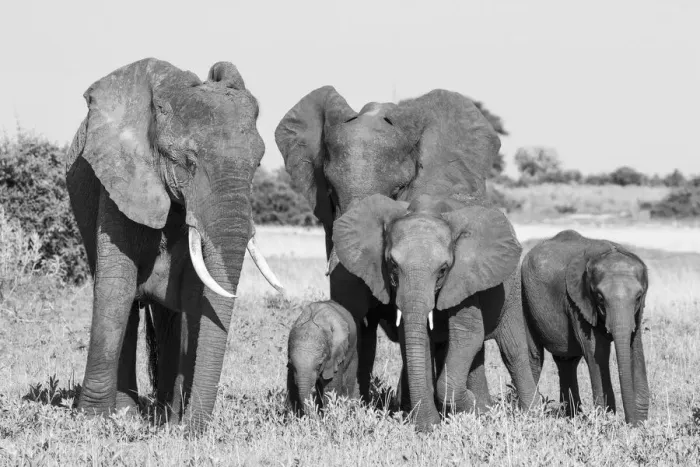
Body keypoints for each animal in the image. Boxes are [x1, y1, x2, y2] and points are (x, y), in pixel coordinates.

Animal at [65, 58, 283, 431]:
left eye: (257, 164)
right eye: (189, 162)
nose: (194, 430)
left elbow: (195, 294)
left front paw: (174, 423)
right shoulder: (119, 178)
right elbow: (116, 286)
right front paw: (93, 422)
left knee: (171, 310)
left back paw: (163, 411)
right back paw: (131, 413)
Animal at [332, 193, 539, 431]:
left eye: (442, 270)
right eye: (392, 264)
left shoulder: (464, 276)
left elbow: (469, 334)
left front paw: (466, 409)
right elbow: (417, 340)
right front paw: (431, 427)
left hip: (512, 291)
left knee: (512, 351)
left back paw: (529, 416)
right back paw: (484, 412)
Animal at [521, 229, 650, 426]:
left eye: (638, 297)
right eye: (600, 298)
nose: (630, 423)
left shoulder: (637, 312)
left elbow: (635, 348)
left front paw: (641, 425)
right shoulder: (577, 302)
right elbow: (598, 352)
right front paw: (607, 420)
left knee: (567, 362)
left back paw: (572, 416)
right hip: (524, 297)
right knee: (534, 356)